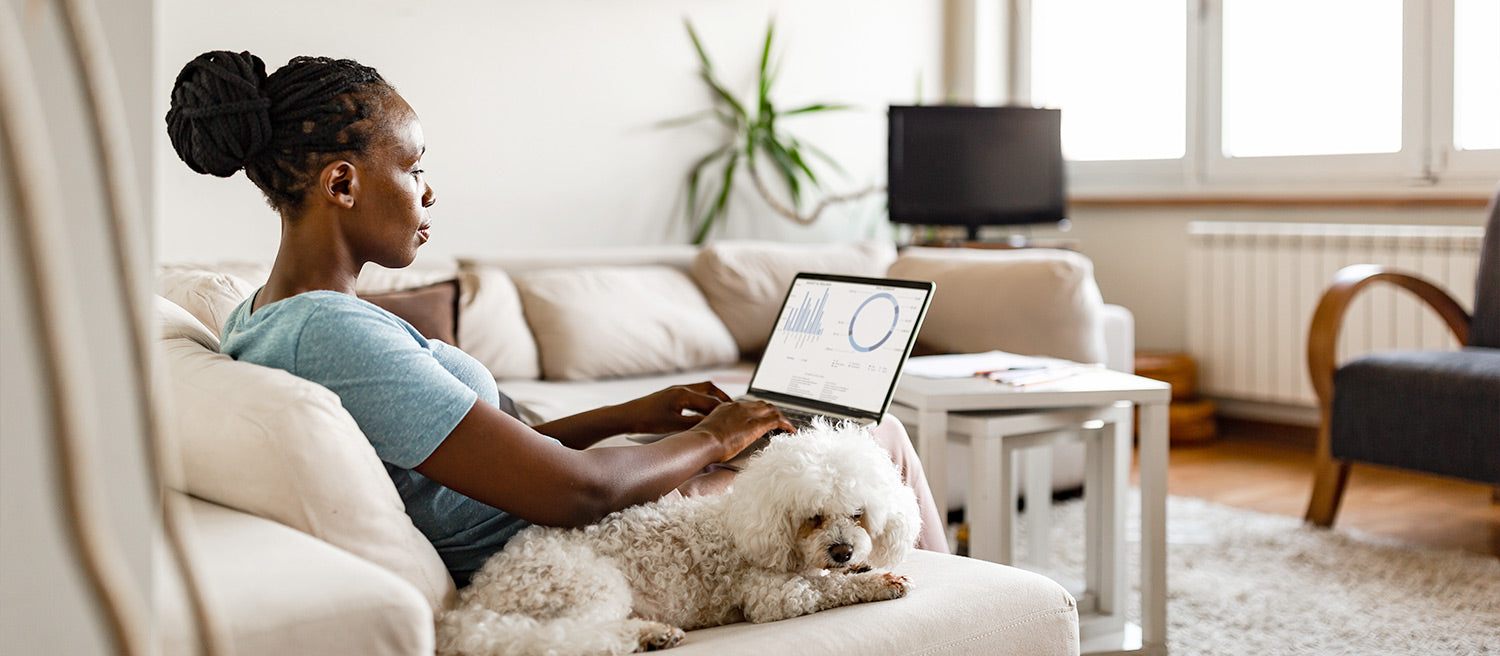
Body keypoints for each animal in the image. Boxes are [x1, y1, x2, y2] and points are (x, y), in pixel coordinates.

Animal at [438, 420, 924, 654]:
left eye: (858, 514)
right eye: (813, 517)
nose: (842, 552)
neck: (749, 519)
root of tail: (472, 602)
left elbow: (833, 577)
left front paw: (865, 568)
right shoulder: (771, 595)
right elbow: (826, 588)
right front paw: (878, 581)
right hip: (587, 583)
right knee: (565, 637)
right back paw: (644, 637)